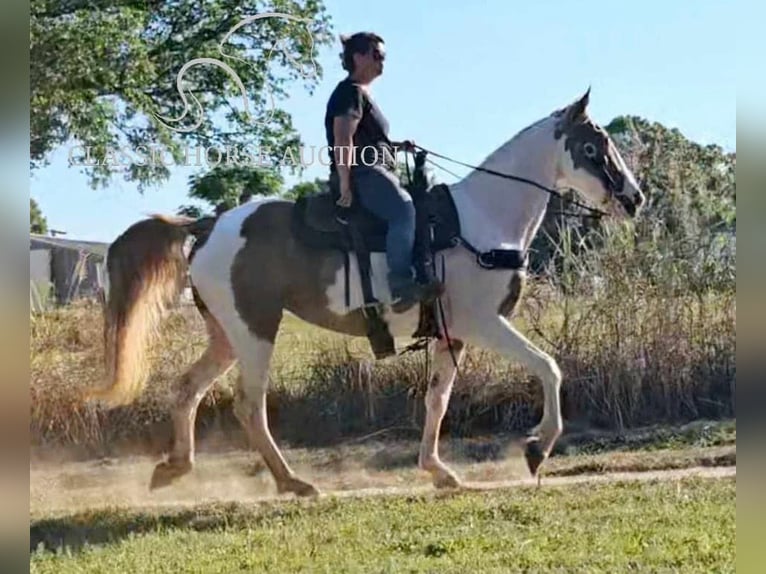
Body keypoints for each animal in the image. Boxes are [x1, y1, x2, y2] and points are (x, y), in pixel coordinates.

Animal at [85, 88, 648, 498]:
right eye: (594, 148)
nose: (634, 199)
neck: (483, 219)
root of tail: (207, 226)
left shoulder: (450, 336)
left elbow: (437, 400)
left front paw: (438, 470)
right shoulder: (482, 322)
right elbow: (548, 367)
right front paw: (537, 448)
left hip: (226, 335)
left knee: (187, 390)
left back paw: (175, 468)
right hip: (255, 332)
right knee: (249, 405)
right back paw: (292, 482)